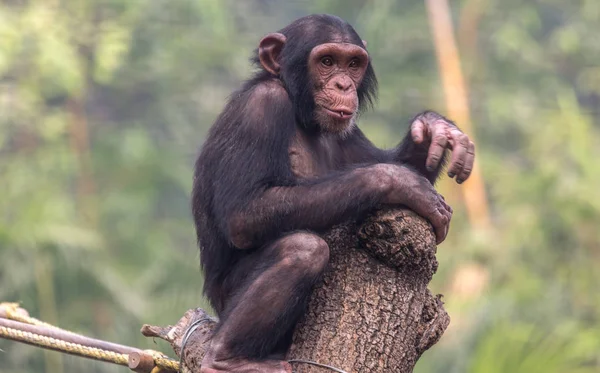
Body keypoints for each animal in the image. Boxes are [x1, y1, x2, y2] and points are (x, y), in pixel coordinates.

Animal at [192, 13, 474, 370]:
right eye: (326, 62)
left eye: (353, 64)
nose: (343, 85)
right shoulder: (260, 108)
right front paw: (400, 183)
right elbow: (244, 213)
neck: (301, 110)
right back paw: (225, 359)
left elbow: (385, 157)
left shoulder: (348, 133)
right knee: (302, 249)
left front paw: (434, 129)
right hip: (226, 297)